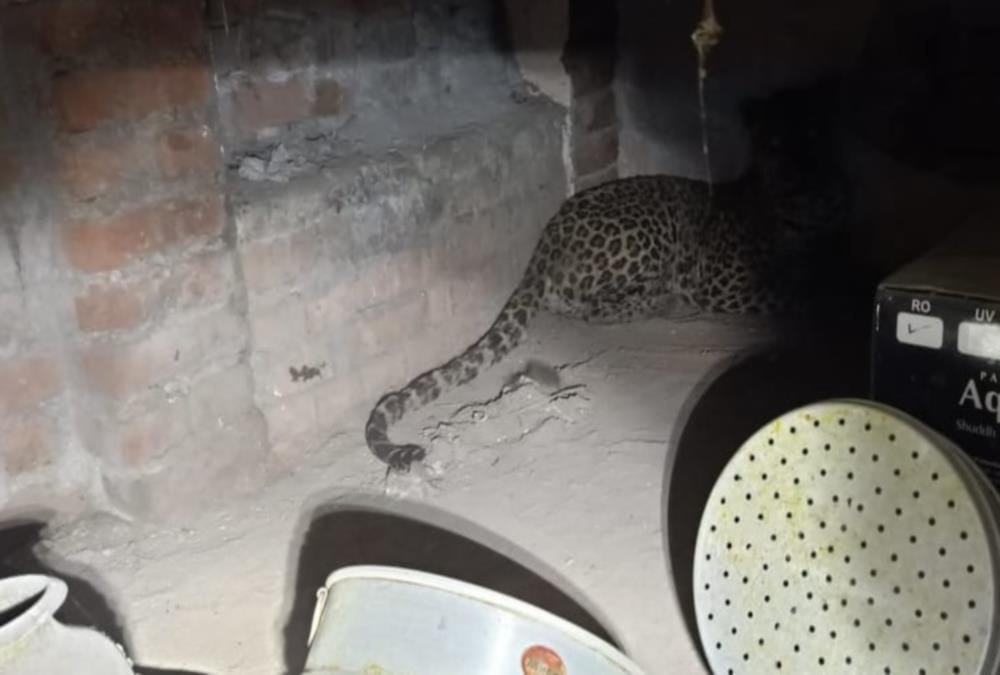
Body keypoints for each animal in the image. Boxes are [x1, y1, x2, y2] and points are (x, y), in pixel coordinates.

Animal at [365, 79, 851, 472]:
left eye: (812, 134)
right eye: (773, 143)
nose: (797, 178)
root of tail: (547, 237)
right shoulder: (725, 283)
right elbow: (800, 290)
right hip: (651, 229)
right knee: (590, 306)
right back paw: (664, 298)